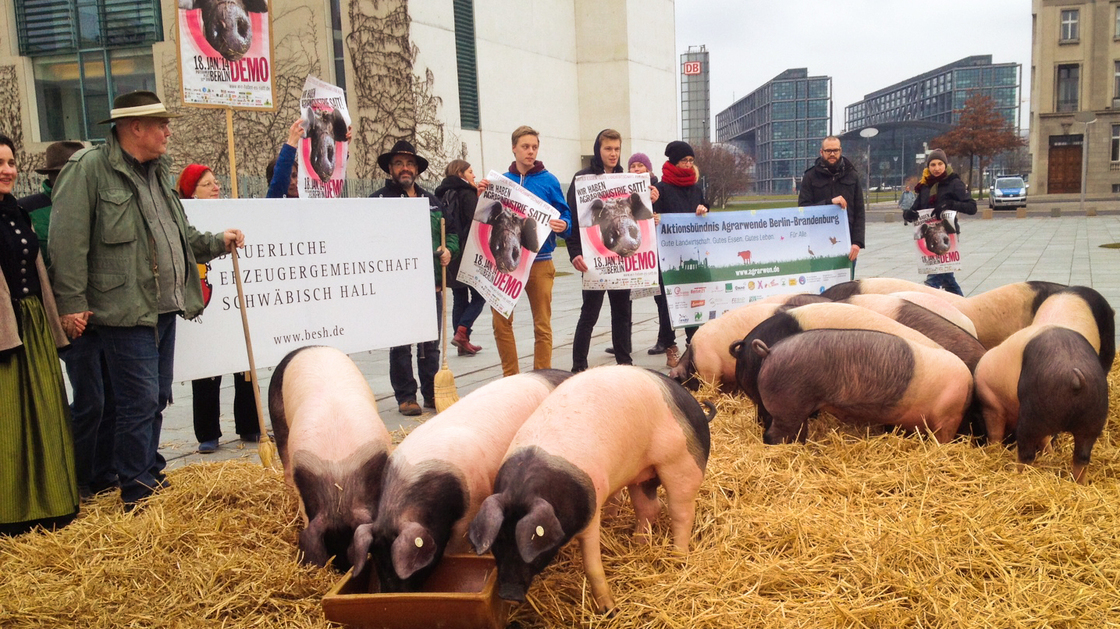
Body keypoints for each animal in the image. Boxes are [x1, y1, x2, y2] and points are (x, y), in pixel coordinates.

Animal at [469, 366, 715, 614]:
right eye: (498, 542)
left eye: (530, 548)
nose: (509, 594)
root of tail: (696, 407)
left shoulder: (592, 507)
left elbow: (592, 565)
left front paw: (609, 610)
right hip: (641, 474)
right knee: (649, 508)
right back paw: (637, 544)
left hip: (681, 463)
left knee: (681, 512)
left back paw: (678, 557)